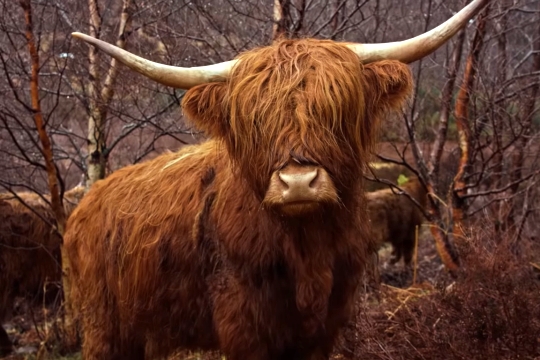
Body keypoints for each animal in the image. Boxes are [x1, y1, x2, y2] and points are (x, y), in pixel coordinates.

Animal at [65, 1, 488, 358]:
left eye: (336, 109)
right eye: (255, 120)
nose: (298, 182)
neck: (306, 250)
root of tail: (87, 201)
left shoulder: (326, 324)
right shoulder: (243, 326)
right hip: (104, 326)